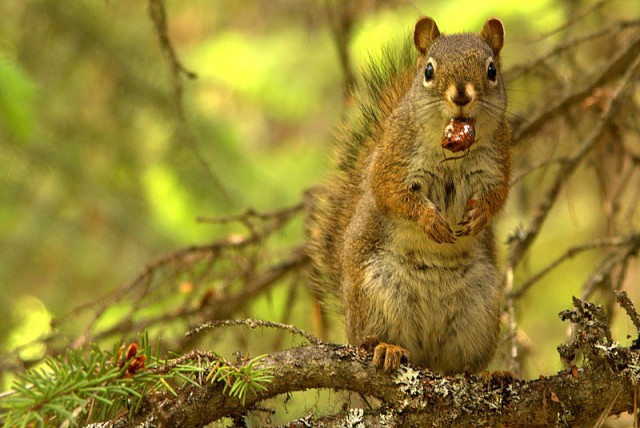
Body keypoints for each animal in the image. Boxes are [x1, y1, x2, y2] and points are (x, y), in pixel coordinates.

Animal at [308, 15, 512, 374]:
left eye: (491, 70)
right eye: (429, 70)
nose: (461, 94)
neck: (453, 148)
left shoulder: (499, 159)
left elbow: (498, 194)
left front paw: (479, 216)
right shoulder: (392, 157)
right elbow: (390, 193)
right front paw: (430, 221)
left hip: (481, 309)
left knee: (460, 365)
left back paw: (488, 374)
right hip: (377, 296)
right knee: (374, 339)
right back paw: (386, 347)